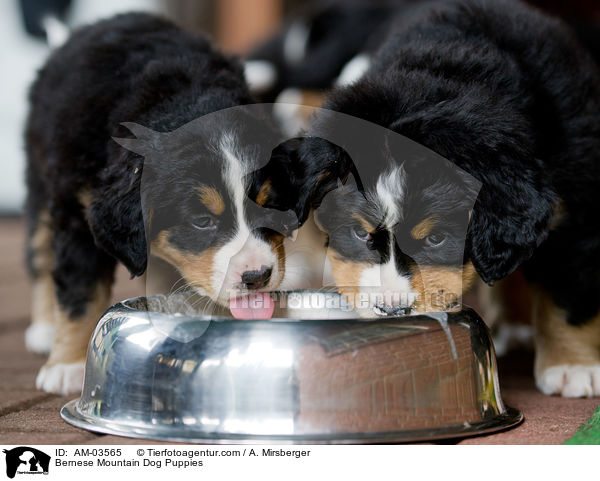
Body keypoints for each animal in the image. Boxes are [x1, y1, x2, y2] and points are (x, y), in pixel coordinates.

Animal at [25, 13, 298, 394]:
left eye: (269, 208)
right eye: (202, 221)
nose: (257, 276)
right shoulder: (76, 211)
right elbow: (80, 289)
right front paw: (67, 364)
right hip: (40, 182)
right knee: (39, 252)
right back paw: (43, 329)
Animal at [284, 0, 600, 396]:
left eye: (436, 239)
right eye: (359, 233)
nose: (392, 311)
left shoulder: (578, 205)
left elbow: (568, 292)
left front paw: (572, 367)